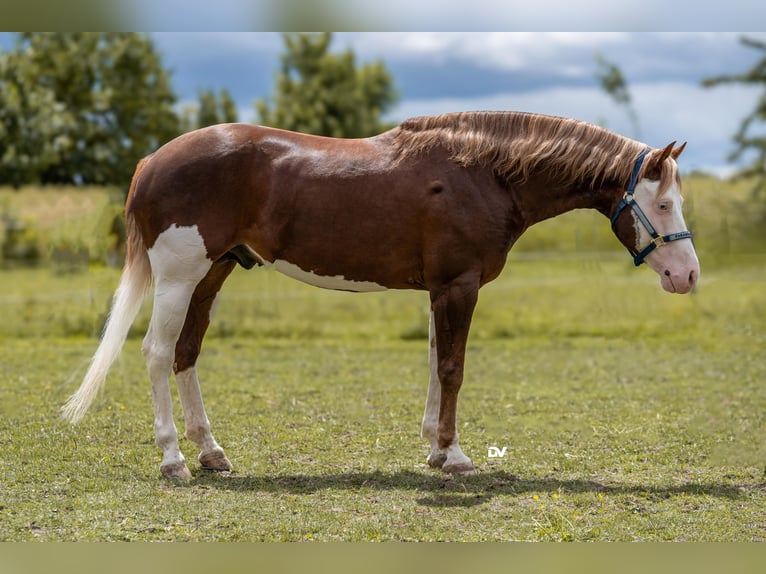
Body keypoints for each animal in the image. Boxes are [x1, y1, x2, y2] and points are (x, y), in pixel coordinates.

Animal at [62, 111, 700, 479]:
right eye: (664, 202)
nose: (688, 276)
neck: (483, 171)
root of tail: (152, 159)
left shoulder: (441, 289)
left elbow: (435, 363)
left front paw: (434, 448)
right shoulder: (459, 286)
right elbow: (453, 368)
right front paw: (455, 457)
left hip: (212, 273)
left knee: (185, 354)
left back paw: (211, 453)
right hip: (179, 275)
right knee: (154, 353)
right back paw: (173, 460)